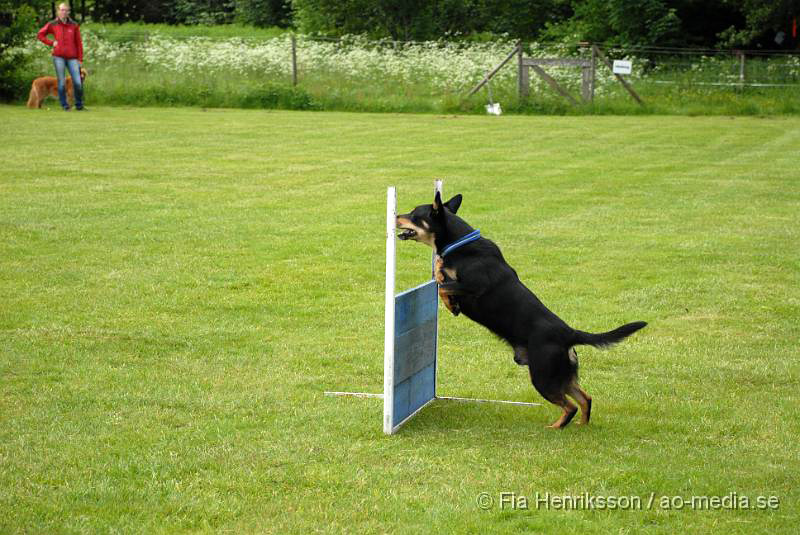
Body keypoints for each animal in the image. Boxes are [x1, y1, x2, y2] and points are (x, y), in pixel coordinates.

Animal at [396, 191, 648, 430]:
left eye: (414, 214)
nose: (395, 216)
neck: (460, 244)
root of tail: (569, 333)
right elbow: (441, 279)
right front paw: (448, 293)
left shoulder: (474, 285)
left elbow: (442, 286)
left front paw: (450, 301)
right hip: (561, 375)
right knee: (586, 398)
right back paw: (582, 426)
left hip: (543, 375)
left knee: (570, 406)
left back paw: (555, 427)